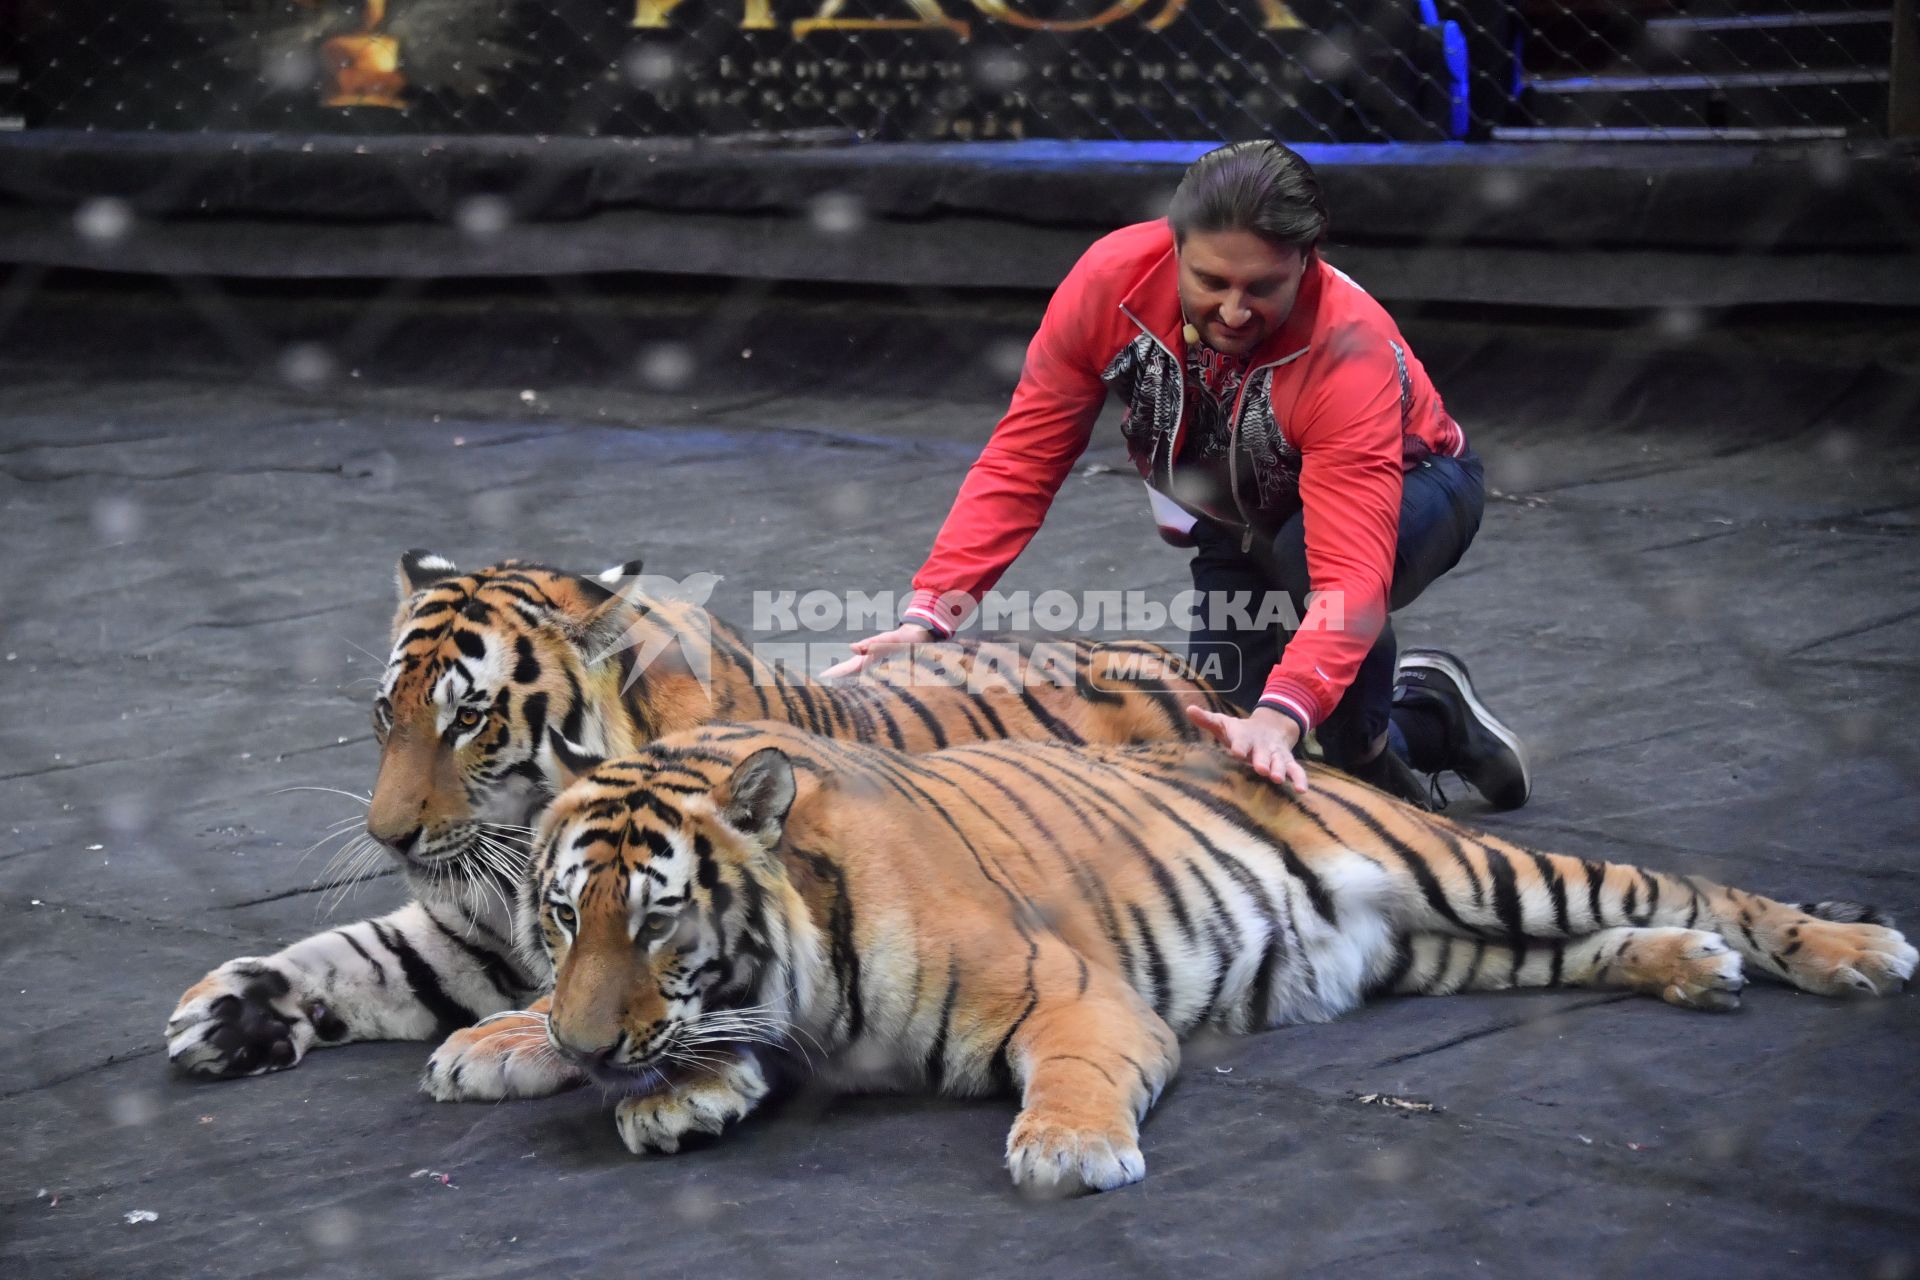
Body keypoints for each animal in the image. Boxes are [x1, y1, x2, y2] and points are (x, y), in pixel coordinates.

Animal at [165, 552, 1228, 1082]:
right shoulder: (474, 929)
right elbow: (358, 955)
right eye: (389, 714)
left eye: (469, 718)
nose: (389, 838)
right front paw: (226, 1013)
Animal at [424, 725, 1920, 1197]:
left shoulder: (1075, 997)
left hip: (1477, 872)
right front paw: (538, 1051)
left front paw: (1072, 1149)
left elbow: (1074, 1071)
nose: (593, 1048)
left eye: (656, 919)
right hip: (1452, 951)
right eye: (562, 918)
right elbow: (706, 1045)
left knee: (1692, 883)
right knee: (1610, 937)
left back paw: (1847, 947)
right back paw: (1692, 965)